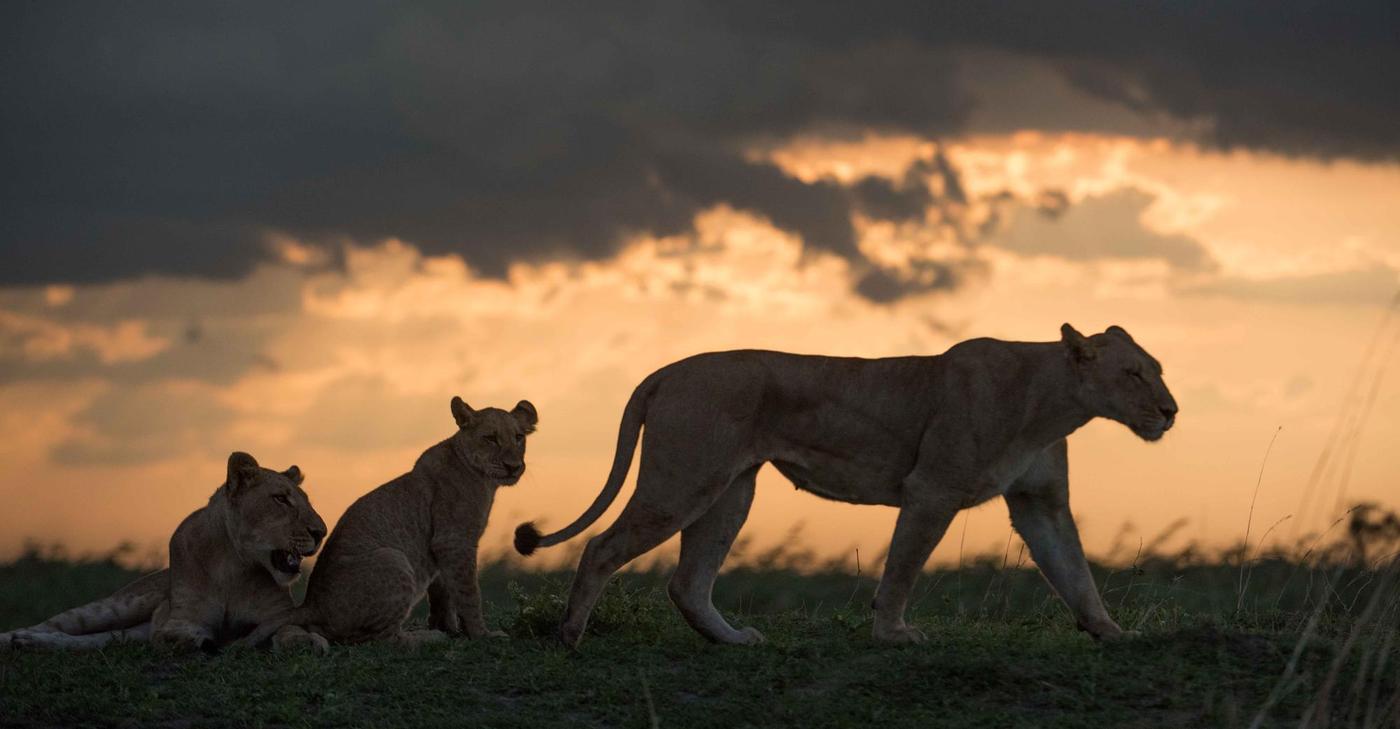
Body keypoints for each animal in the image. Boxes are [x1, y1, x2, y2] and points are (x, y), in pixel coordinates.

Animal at [1, 452, 326, 652]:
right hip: (115, 606)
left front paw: (306, 642)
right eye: (281, 499)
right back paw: (18, 637)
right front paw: (200, 642)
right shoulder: (180, 619)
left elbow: (292, 630)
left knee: (99, 640)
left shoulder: (280, 615)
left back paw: (31, 642)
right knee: (56, 624)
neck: (235, 566)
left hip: (127, 632)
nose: (321, 532)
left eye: (306, 501)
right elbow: (176, 634)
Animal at [272, 396, 537, 649]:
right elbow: (469, 592)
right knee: (379, 639)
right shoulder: (454, 541)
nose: (513, 466)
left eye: (518, 438)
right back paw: (427, 638)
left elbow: (444, 593)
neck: (483, 478)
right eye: (491, 438)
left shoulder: (442, 547)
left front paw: (449, 628)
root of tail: (309, 606)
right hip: (393, 558)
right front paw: (482, 635)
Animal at [515, 324, 1178, 647]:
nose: (1171, 411)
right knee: (601, 548)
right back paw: (570, 637)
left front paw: (1113, 634)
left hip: (729, 489)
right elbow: (903, 567)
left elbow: (1076, 573)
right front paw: (893, 634)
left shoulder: (1041, 504)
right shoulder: (932, 488)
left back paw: (732, 640)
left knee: (687, 581)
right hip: (685, 478)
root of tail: (666, 370)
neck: (1052, 403)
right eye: (1132, 374)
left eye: (1158, 370)